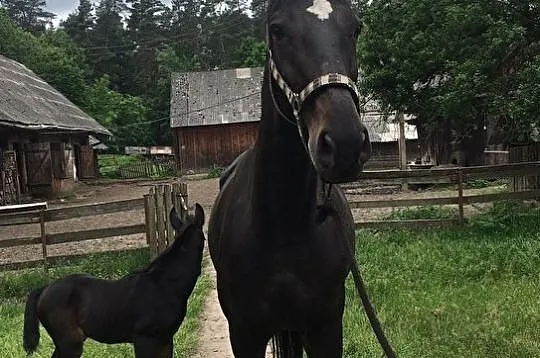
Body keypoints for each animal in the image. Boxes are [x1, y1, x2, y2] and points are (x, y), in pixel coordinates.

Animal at [22, 204, 205, 358]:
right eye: (204, 239)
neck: (163, 287)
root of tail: (44, 289)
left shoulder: (166, 340)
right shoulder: (144, 341)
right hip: (70, 344)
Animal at [207, 0, 372, 356]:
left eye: (355, 29)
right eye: (277, 30)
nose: (345, 143)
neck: (284, 231)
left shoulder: (326, 327)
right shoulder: (244, 333)